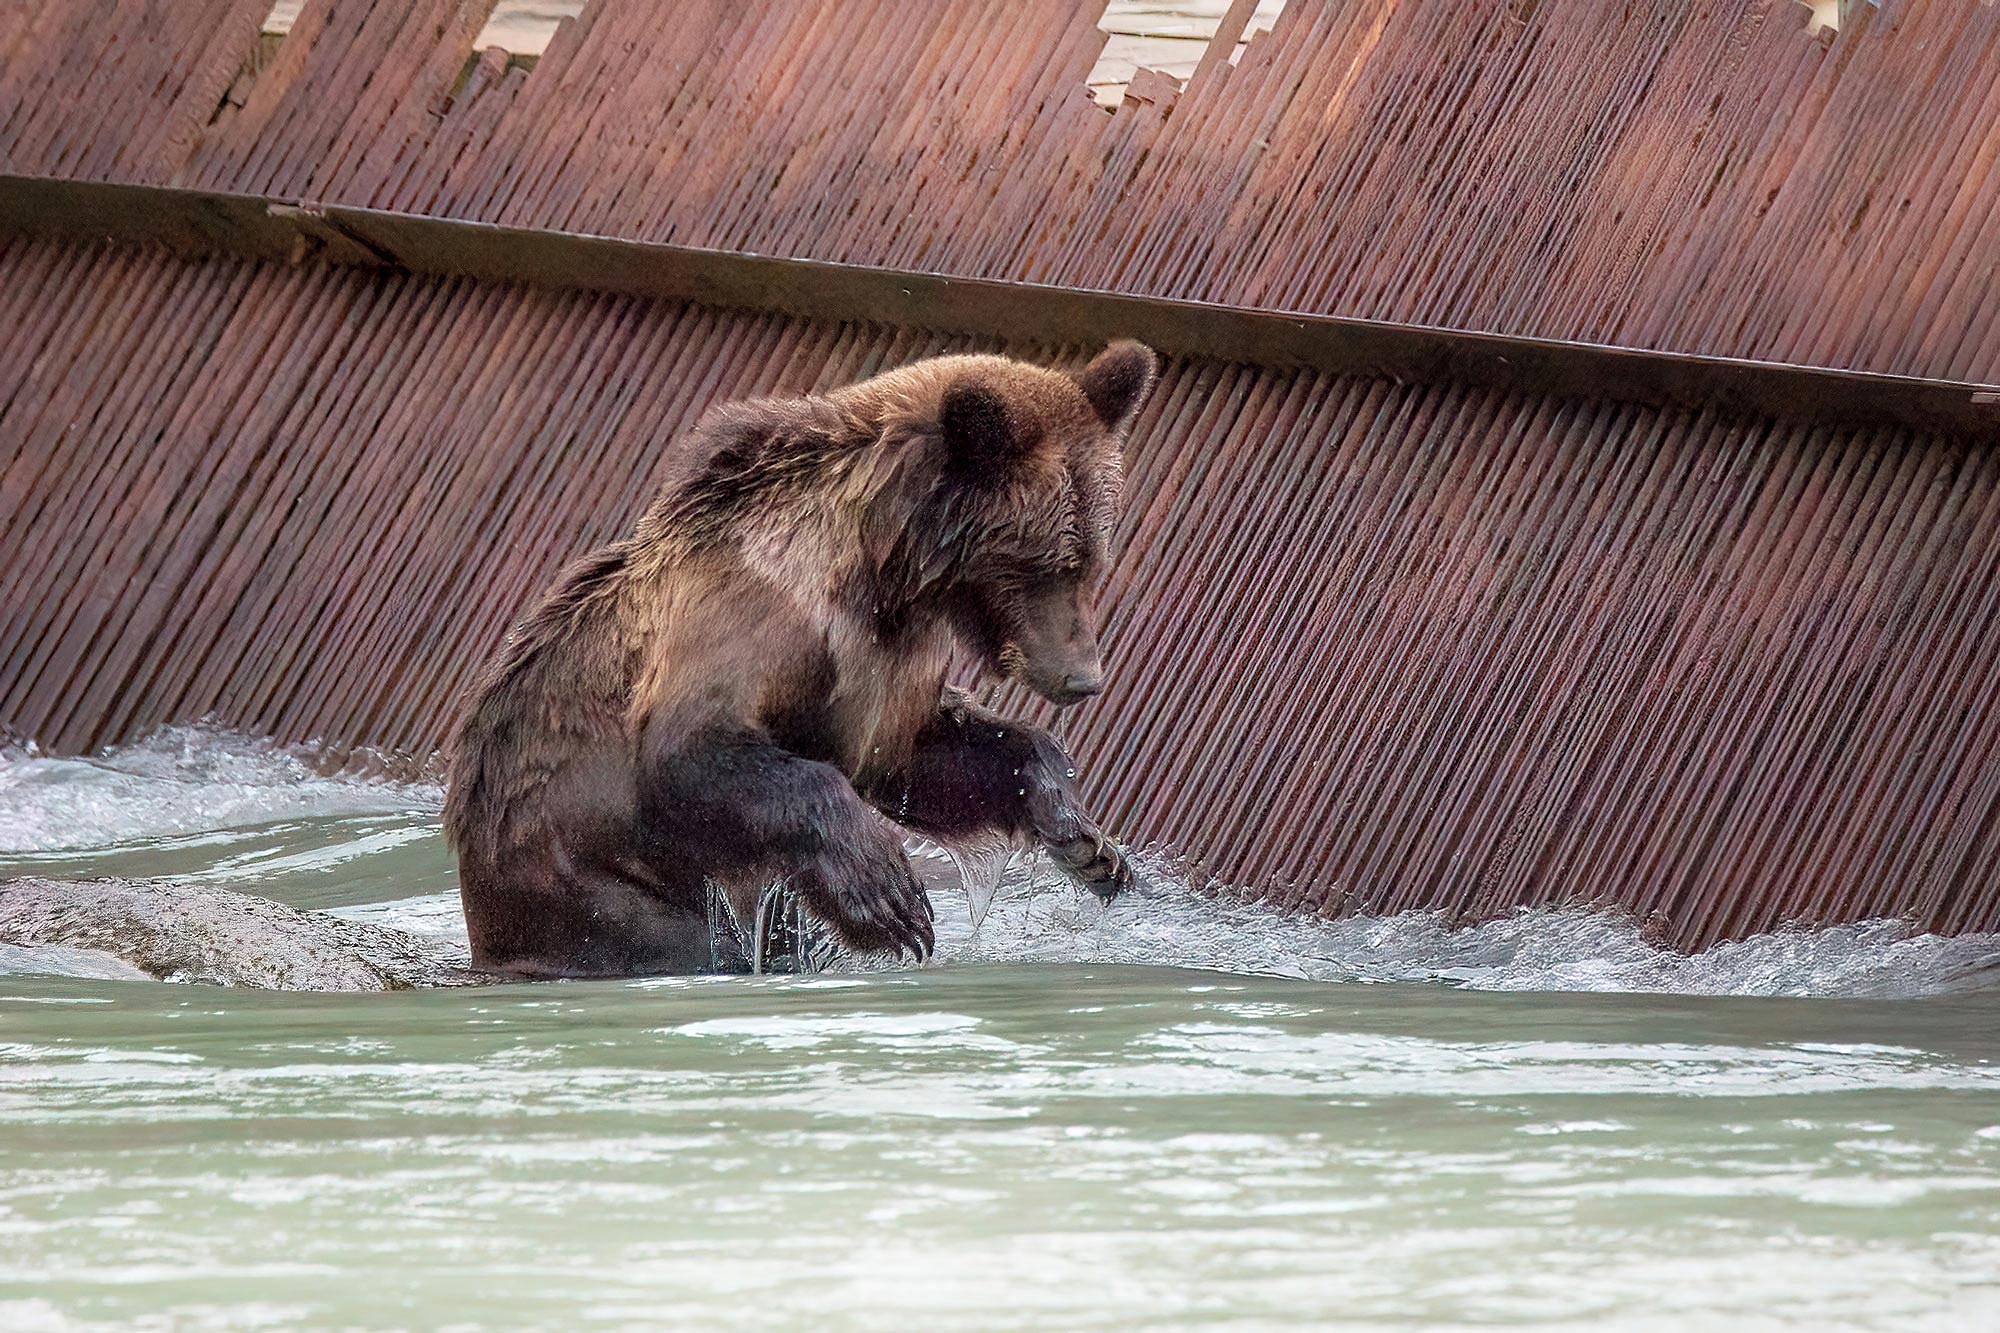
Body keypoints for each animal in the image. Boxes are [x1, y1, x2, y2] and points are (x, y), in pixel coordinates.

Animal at [438, 338, 1160, 972]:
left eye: (1093, 559)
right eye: (1043, 563)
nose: (1084, 677)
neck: (884, 571)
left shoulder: (882, 665)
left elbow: (918, 754)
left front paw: (1085, 838)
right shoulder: (753, 615)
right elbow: (692, 752)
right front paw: (892, 898)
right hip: (596, 890)